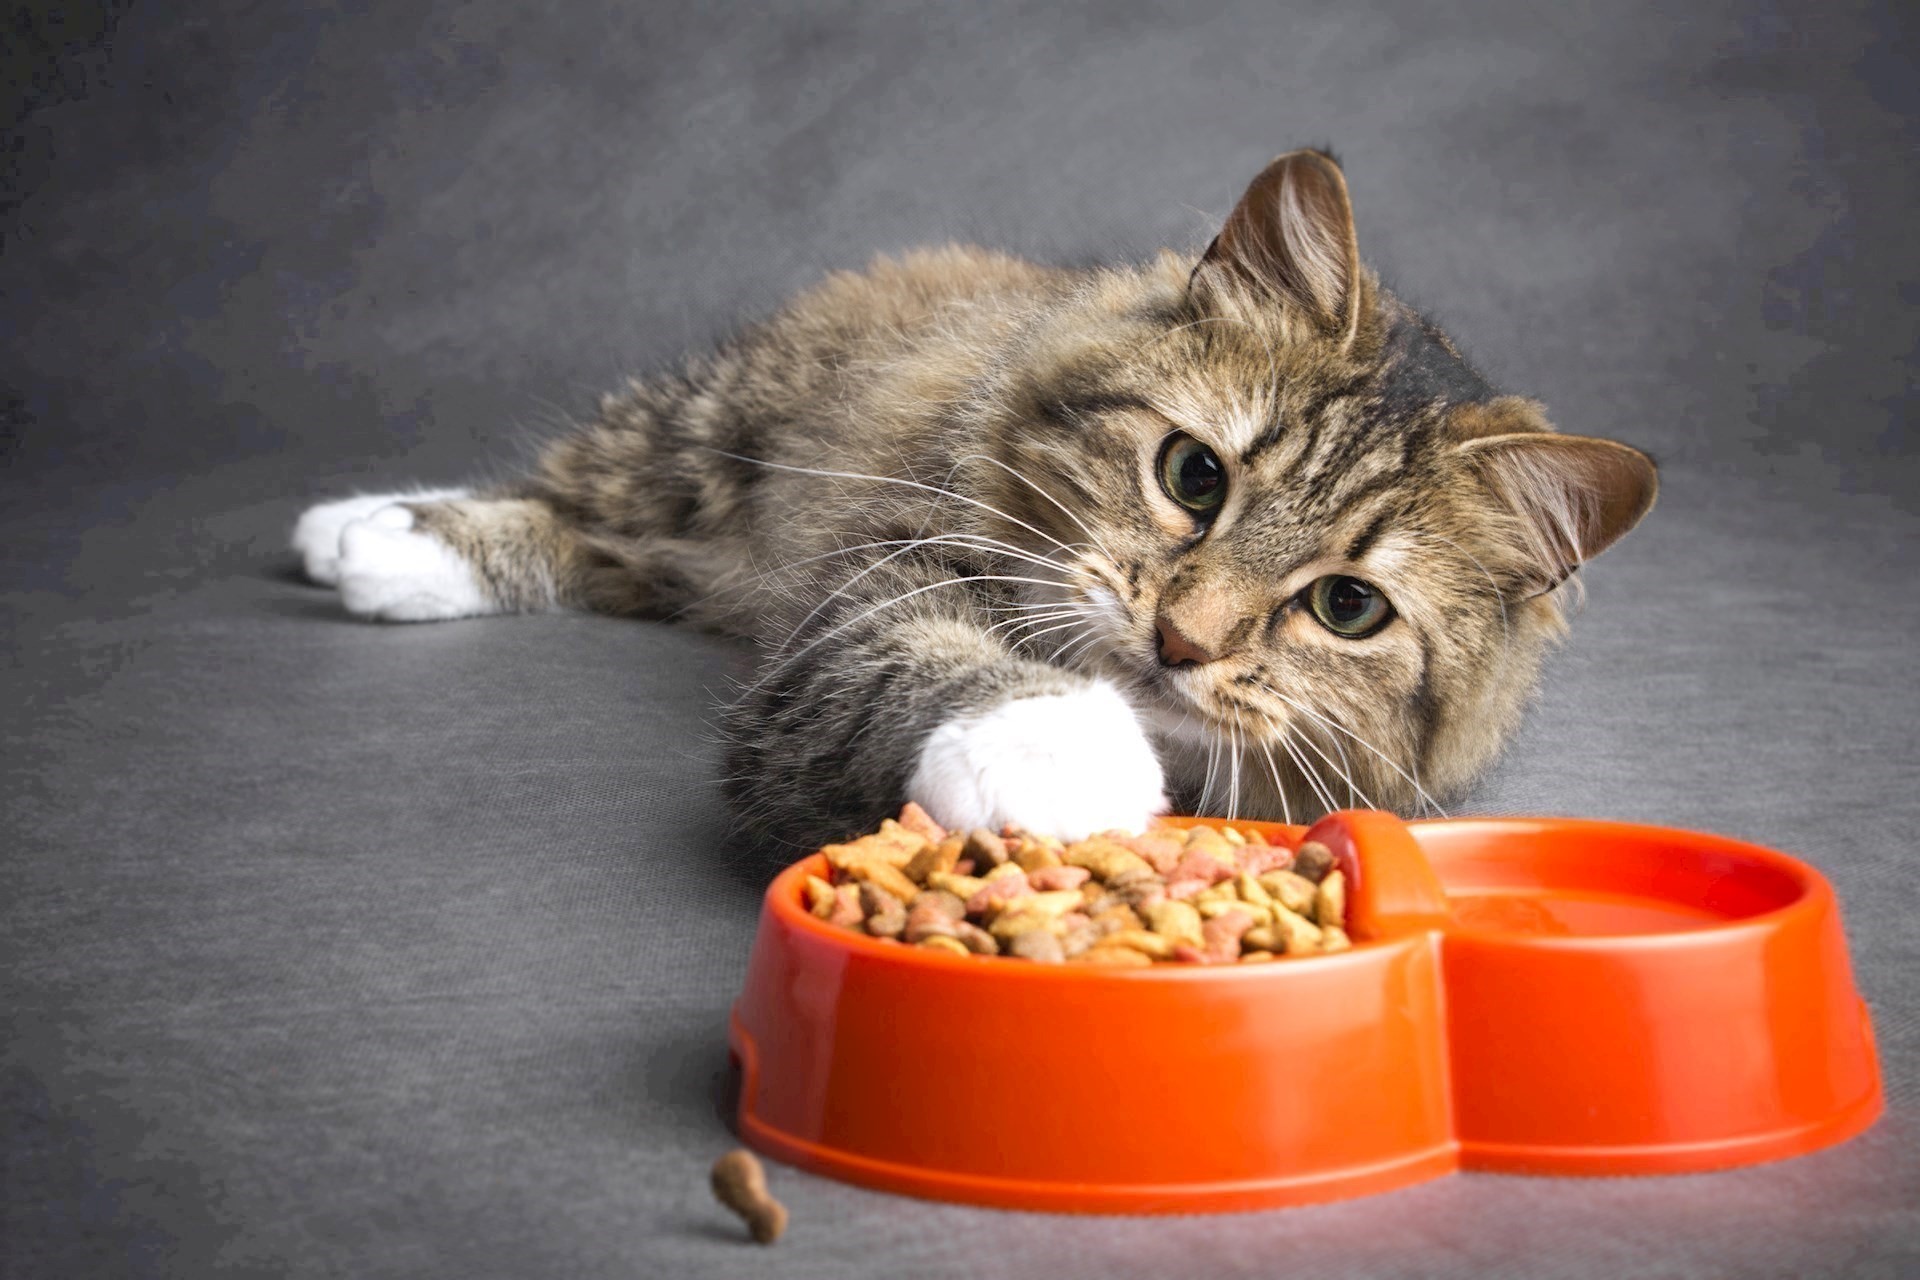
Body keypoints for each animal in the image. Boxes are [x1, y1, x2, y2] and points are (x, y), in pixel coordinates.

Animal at [291, 150, 1658, 852]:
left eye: (1346, 608)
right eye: (1194, 476)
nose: (1182, 641)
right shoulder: (865, 595)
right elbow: (933, 659)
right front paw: (1055, 748)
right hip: (707, 435)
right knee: (572, 495)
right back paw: (372, 534)